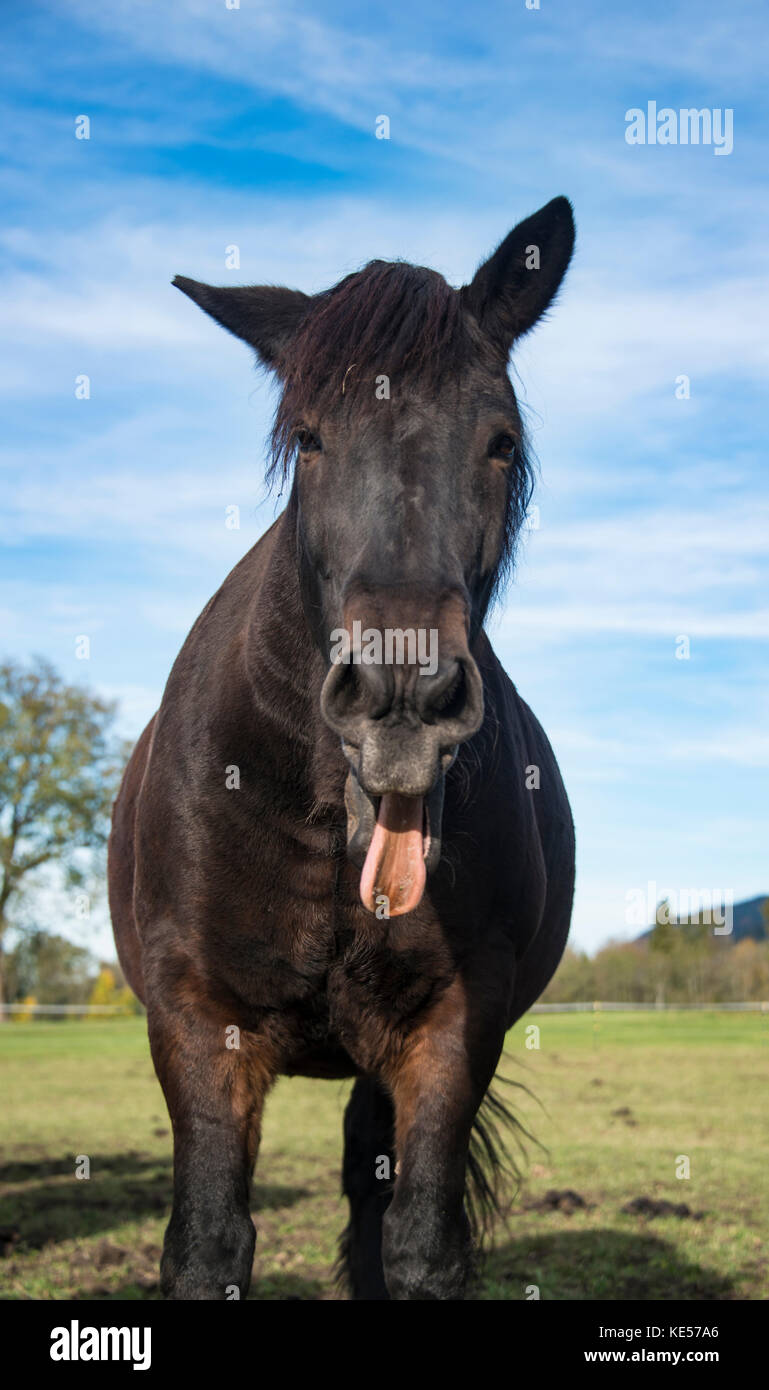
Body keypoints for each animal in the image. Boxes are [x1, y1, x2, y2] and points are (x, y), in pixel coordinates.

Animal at [108, 196, 577, 1301]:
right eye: (311, 439)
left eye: (499, 442)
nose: (402, 697)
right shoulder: (197, 1020)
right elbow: (207, 1243)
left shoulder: (450, 1028)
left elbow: (416, 1243)